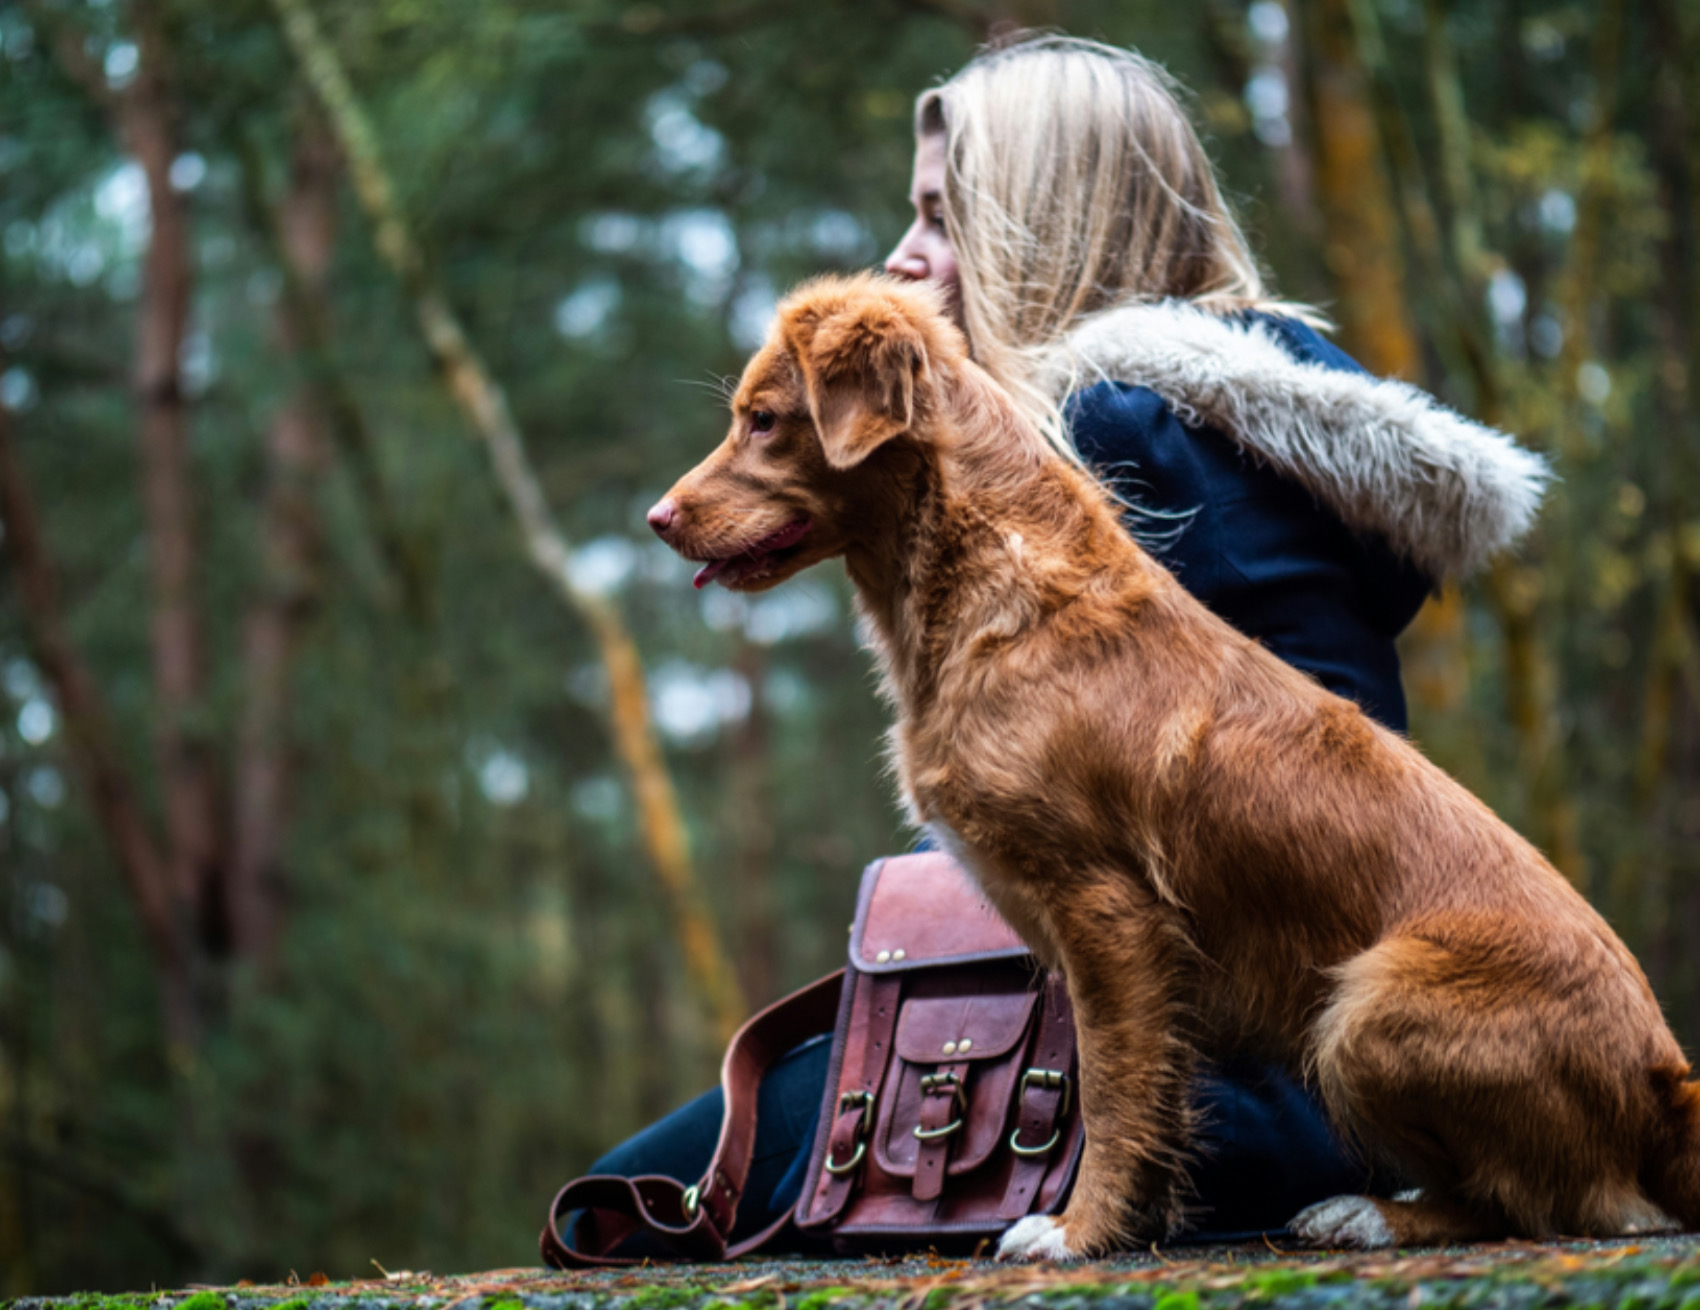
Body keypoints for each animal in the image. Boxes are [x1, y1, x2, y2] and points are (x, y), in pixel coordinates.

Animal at [642, 273, 1693, 1257]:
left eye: (764, 420)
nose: (655, 516)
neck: (989, 587)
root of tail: (1663, 1079)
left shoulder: (1109, 910)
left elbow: (1108, 1093)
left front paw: (1073, 1232)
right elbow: (1142, 1098)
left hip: (1364, 1008)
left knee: (1536, 1203)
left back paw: (1370, 1214)